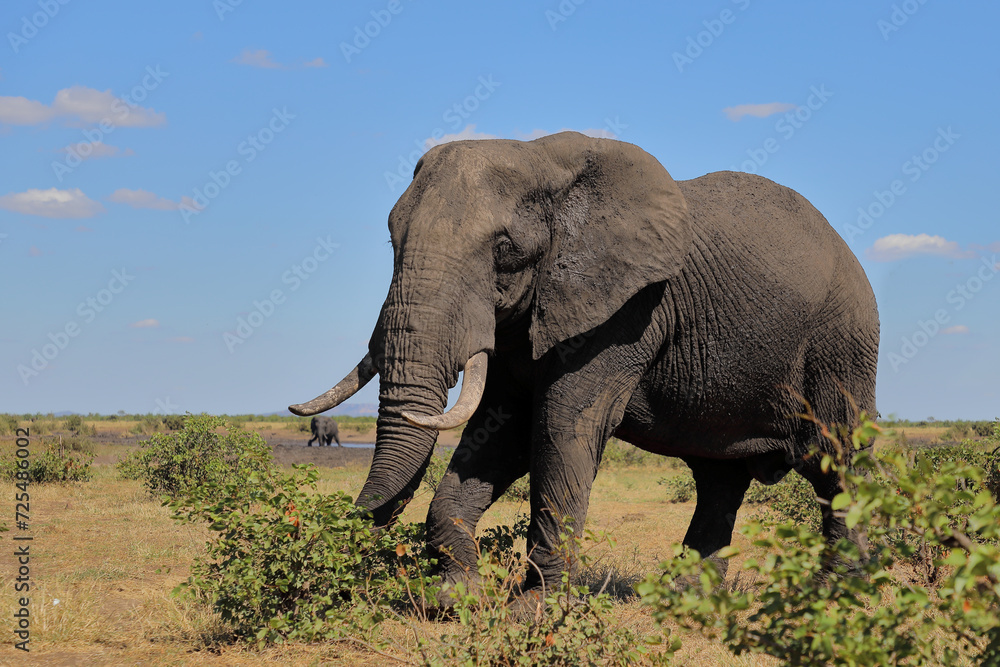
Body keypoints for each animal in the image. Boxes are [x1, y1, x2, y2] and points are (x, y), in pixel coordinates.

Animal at [288, 130, 876, 596]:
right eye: (392, 239)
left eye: (504, 250)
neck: (540, 158)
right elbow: (500, 431)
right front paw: (455, 597)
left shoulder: (627, 310)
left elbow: (560, 426)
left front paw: (533, 611)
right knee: (719, 481)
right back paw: (687, 599)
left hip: (841, 346)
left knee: (834, 462)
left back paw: (837, 595)